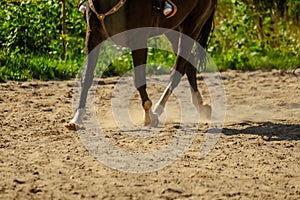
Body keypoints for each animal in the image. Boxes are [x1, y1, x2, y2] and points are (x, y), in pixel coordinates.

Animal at [66, 0, 216, 128]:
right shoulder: (93, 35)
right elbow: (87, 77)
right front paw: (77, 118)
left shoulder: (138, 39)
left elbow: (139, 79)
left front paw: (149, 115)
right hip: (174, 29)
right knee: (189, 64)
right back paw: (201, 105)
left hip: (192, 26)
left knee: (177, 70)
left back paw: (158, 109)